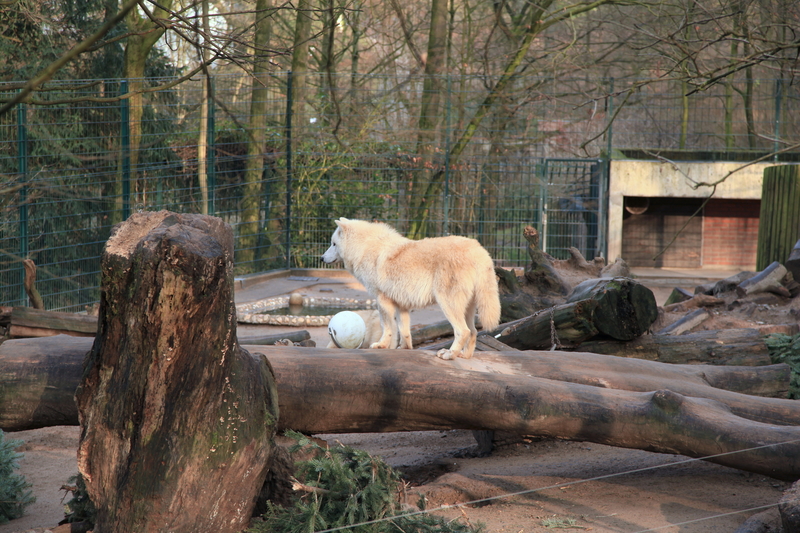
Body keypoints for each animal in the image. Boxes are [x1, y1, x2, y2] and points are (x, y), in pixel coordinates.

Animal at [320, 217, 500, 362]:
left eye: (333, 244)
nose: (321, 258)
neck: (364, 248)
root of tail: (479, 251)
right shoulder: (402, 305)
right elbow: (404, 331)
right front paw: (404, 349)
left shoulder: (382, 300)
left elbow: (388, 328)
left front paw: (381, 345)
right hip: (467, 308)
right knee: (473, 331)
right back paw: (464, 356)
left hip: (447, 304)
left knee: (463, 331)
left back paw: (449, 354)